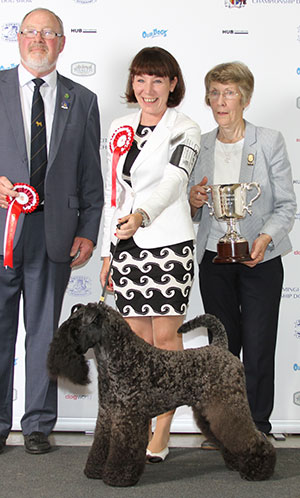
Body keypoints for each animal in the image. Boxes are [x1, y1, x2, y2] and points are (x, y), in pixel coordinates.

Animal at [47, 302, 276, 488]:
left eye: (75, 327)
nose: (56, 354)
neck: (120, 357)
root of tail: (221, 348)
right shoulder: (107, 414)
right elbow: (101, 443)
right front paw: (95, 469)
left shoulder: (127, 416)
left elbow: (123, 447)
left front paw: (118, 476)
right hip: (208, 410)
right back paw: (238, 462)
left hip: (227, 405)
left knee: (249, 434)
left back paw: (259, 469)